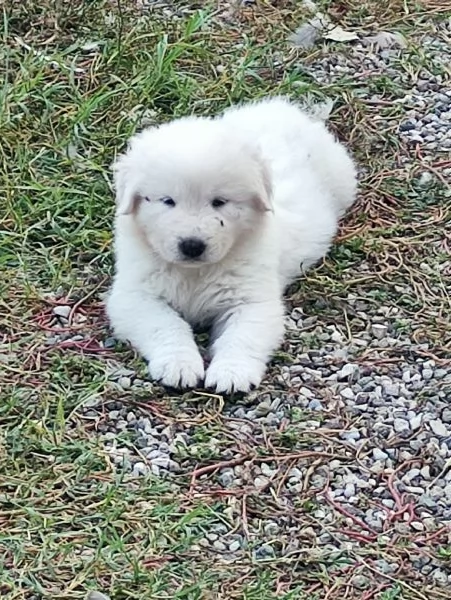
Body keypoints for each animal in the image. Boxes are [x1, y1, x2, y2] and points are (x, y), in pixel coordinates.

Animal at [106, 98, 356, 394]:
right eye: (167, 201)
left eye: (219, 202)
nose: (192, 246)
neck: (194, 272)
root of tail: (282, 108)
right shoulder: (135, 296)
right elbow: (166, 325)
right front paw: (179, 365)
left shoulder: (253, 300)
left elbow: (242, 336)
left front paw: (232, 373)